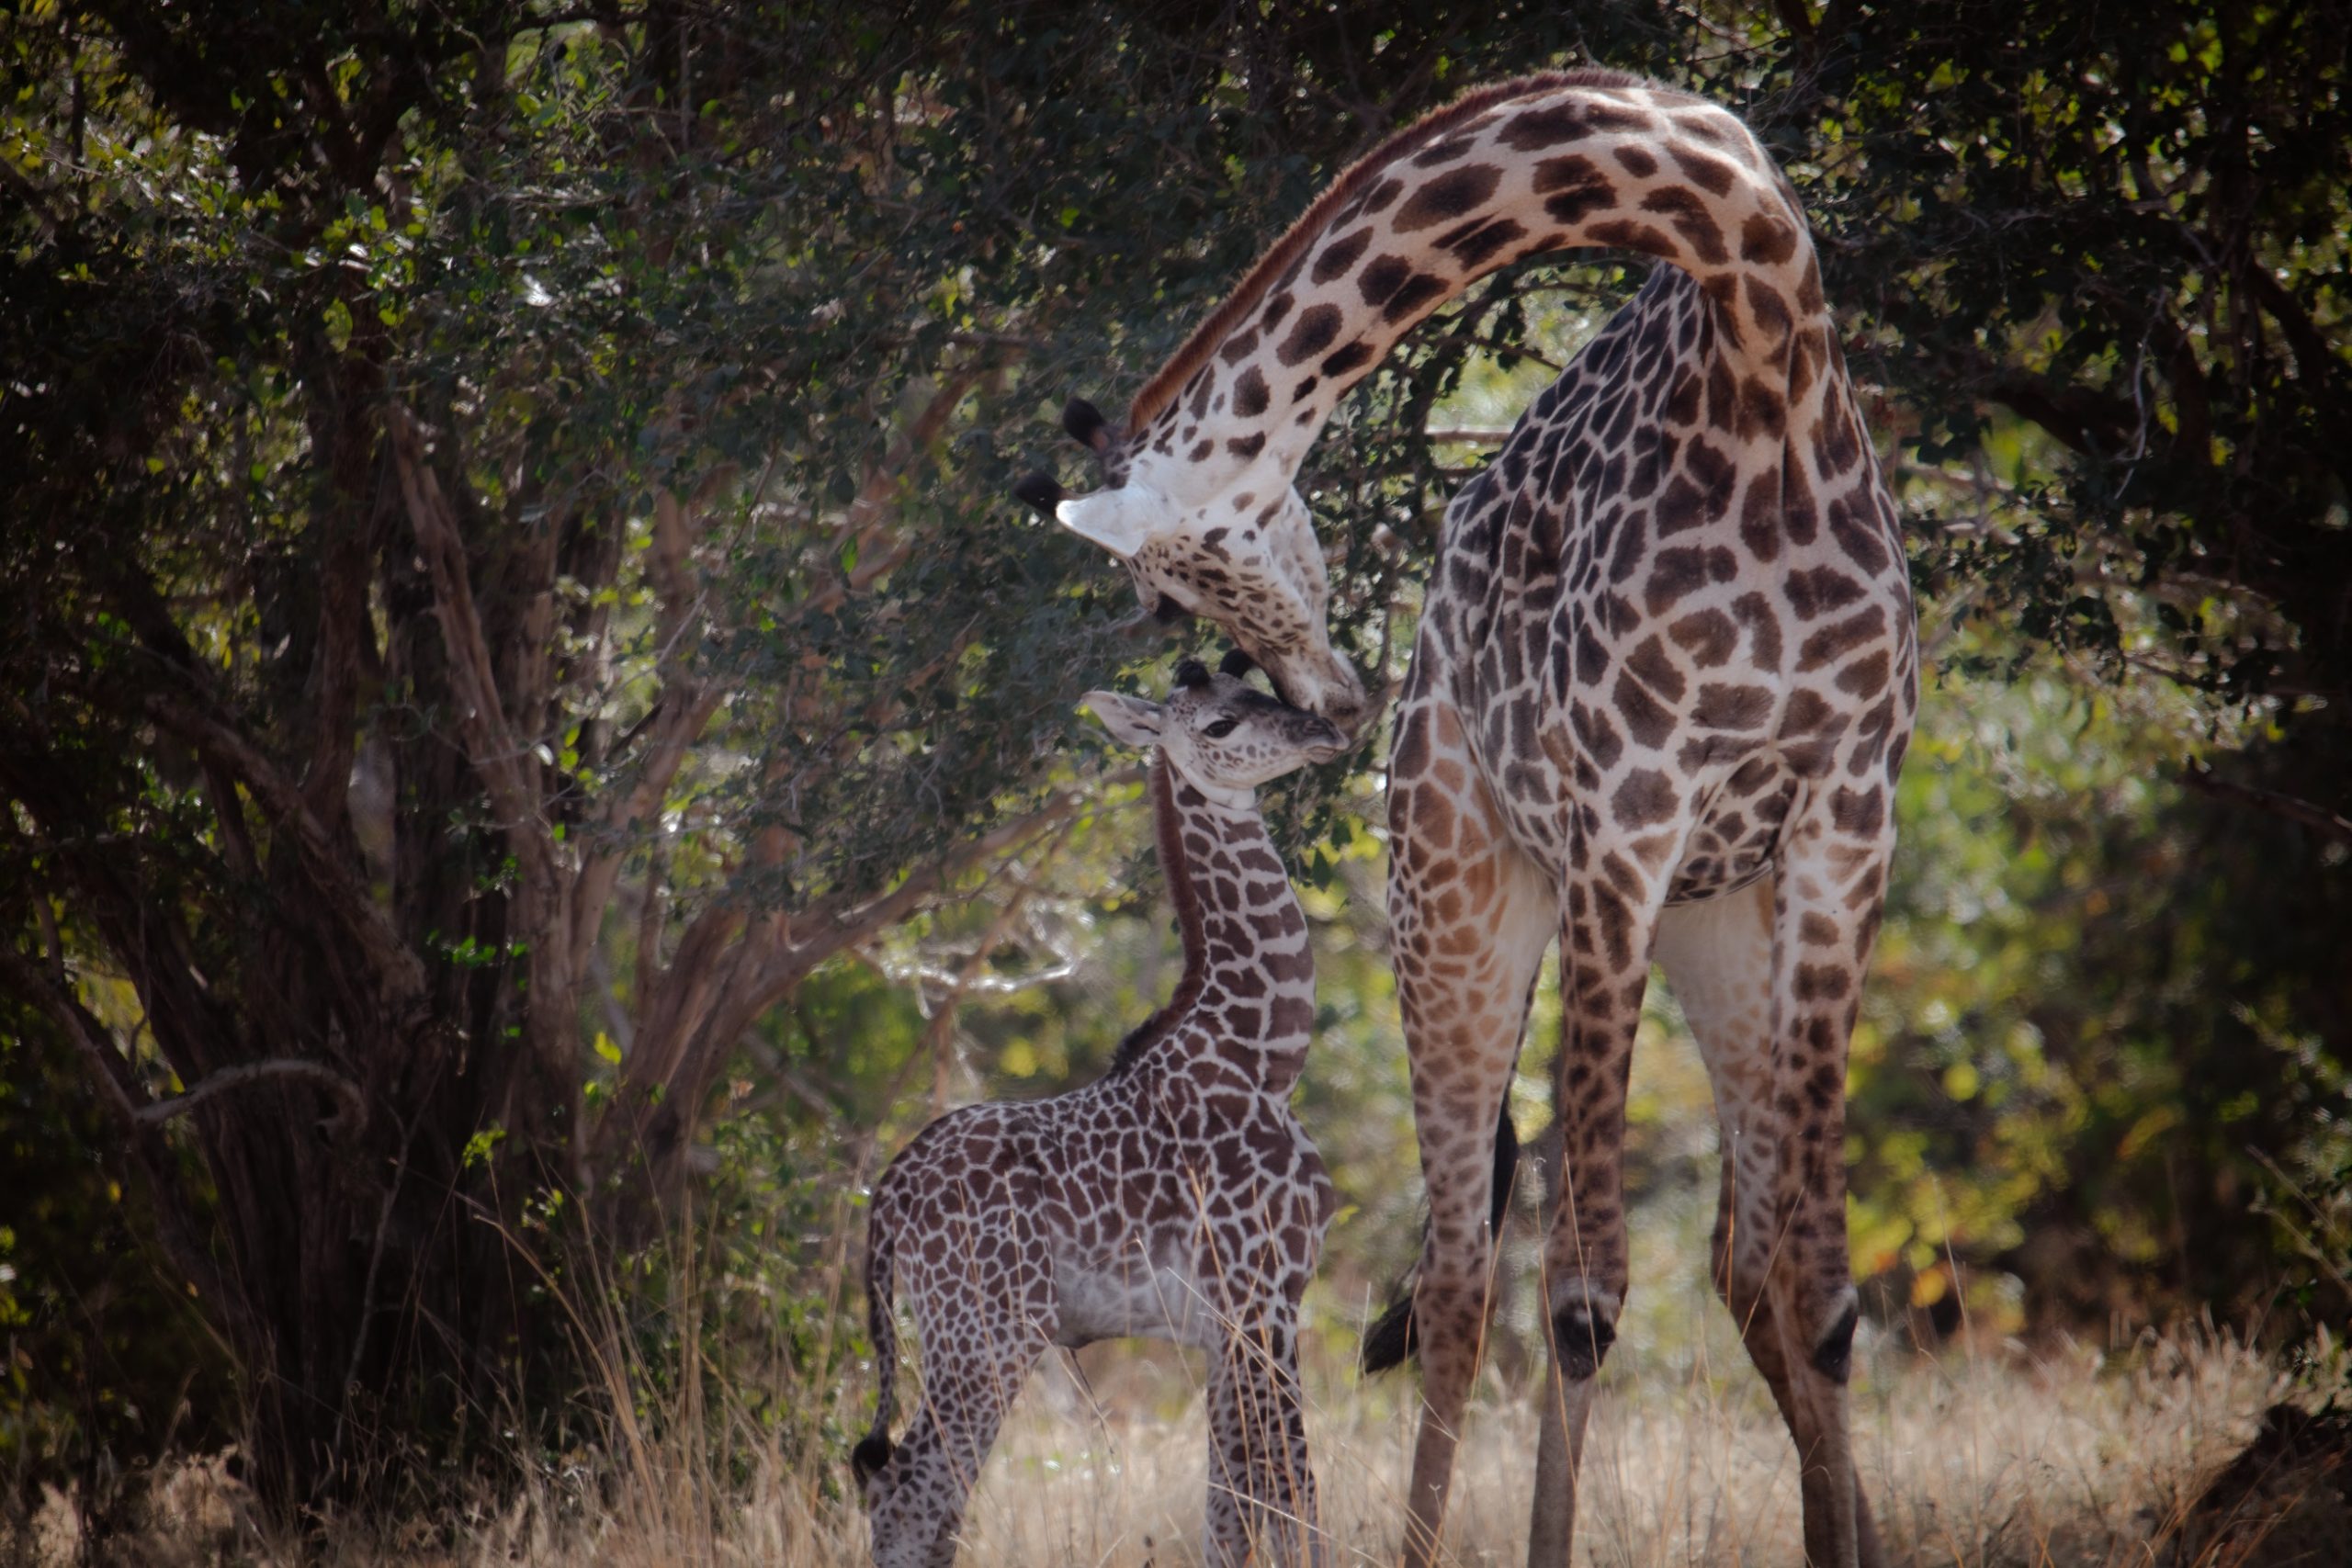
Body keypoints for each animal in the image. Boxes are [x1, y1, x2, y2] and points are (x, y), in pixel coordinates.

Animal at [860, 653, 1345, 1568]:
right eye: (1220, 723)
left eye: (1264, 688)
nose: (1326, 731)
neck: (1266, 1054)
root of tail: (887, 1199)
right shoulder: (1264, 1297)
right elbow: (1293, 1495)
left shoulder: (1232, 1321)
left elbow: (1230, 1508)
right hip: (984, 1332)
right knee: (908, 1491)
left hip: (961, 1334)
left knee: (910, 1493)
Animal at [1011, 67, 1909, 1561]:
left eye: (1169, 580)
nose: (1330, 696)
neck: (1762, 353)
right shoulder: (1624, 813)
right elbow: (1585, 1293)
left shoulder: (1849, 814)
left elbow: (1827, 1295)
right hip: (1458, 896)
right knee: (1456, 1279)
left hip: (1726, 922)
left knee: (1745, 1258)